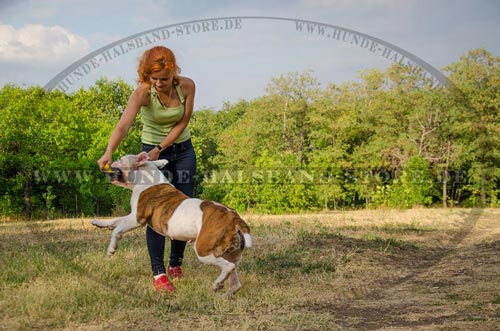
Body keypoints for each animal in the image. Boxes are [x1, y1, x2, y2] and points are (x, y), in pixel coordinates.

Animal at [90, 153, 252, 296]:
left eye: (121, 159)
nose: (111, 161)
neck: (145, 176)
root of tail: (233, 216)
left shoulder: (137, 219)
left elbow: (117, 229)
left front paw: (111, 248)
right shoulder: (131, 215)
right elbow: (116, 220)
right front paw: (99, 222)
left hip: (203, 250)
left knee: (228, 267)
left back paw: (217, 284)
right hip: (231, 253)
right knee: (235, 281)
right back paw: (224, 296)